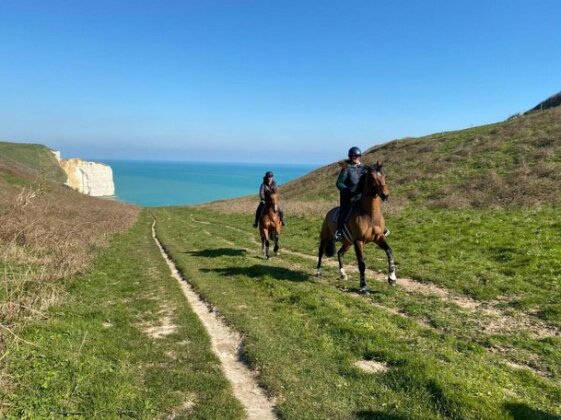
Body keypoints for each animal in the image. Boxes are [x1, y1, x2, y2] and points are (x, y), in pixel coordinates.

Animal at [316, 162, 394, 294]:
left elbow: (389, 252)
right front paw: (363, 286)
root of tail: (329, 212)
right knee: (321, 252)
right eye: (372, 178)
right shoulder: (359, 241)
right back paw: (318, 271)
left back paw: (343, 274)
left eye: (384, 176)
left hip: (347, 242)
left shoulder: (378, 238)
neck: (370, 214)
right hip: (325, 237)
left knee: (340, 253)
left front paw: (392, 279)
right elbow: (361, 264)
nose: (385, 195)